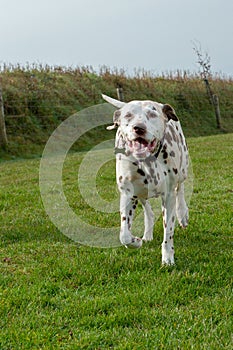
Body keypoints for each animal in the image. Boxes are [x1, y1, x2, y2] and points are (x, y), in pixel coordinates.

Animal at [102, 94, 189, 264]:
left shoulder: (168, 196)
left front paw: (167, 257)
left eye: (152, 114)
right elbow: (124, 235)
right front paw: (135, 241)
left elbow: (168, 231)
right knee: (148, 211)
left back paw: (182, 214)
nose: (139, 128)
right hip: (140, 193)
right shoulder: (128, 194)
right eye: (128, 115)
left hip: (183, 168)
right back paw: (147, 234)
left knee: (181, 188)